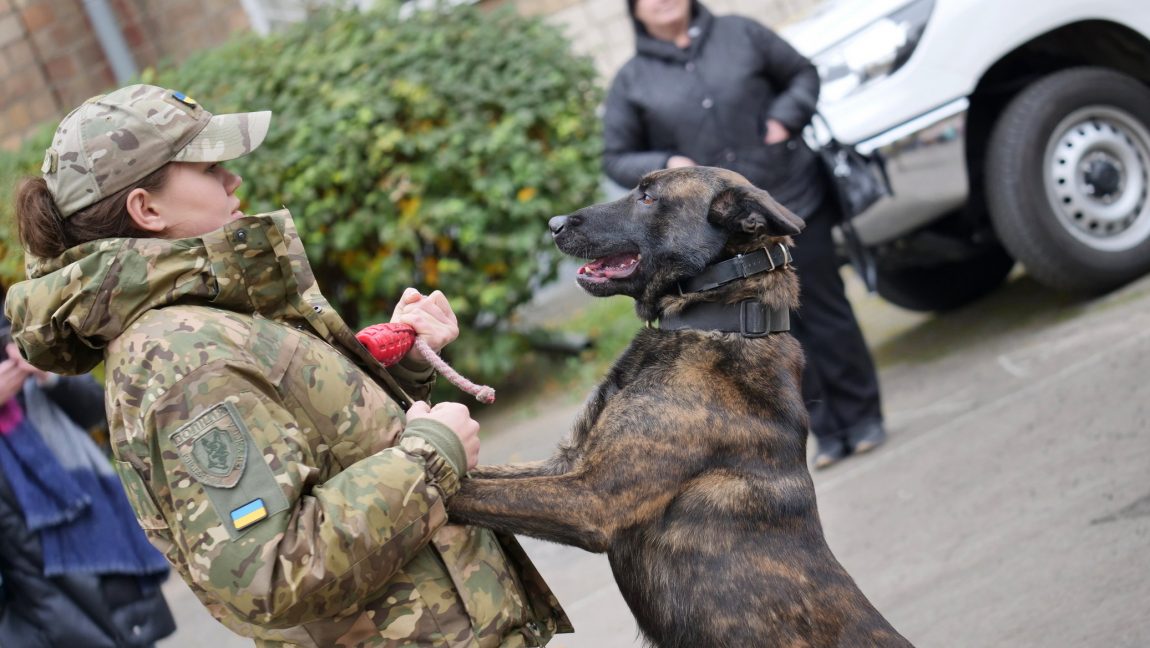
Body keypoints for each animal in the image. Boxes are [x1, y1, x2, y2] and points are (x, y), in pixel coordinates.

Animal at [446, 169, 906, 648]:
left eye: (648, 198)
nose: (553, 224)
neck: (718, 319)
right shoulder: (566, 463)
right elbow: (477, 474)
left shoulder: (589, 497)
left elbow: (465, 492)